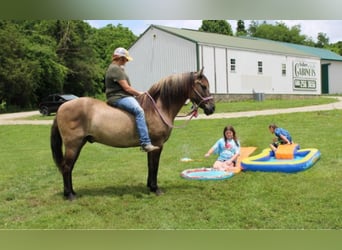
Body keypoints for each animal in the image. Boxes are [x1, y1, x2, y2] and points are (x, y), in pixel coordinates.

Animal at [50, 67, 215, 200]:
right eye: (203, 86)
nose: (212, 108)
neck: (158, 108)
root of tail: (62, 107)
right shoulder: (158, 145)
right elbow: (155, 166)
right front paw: (156, 189)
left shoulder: (151, 146)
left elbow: (150, 165)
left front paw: (150, 186)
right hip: (73, 145)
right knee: (66, 167)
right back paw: (70, 195)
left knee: (68, 167)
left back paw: (72, 192)